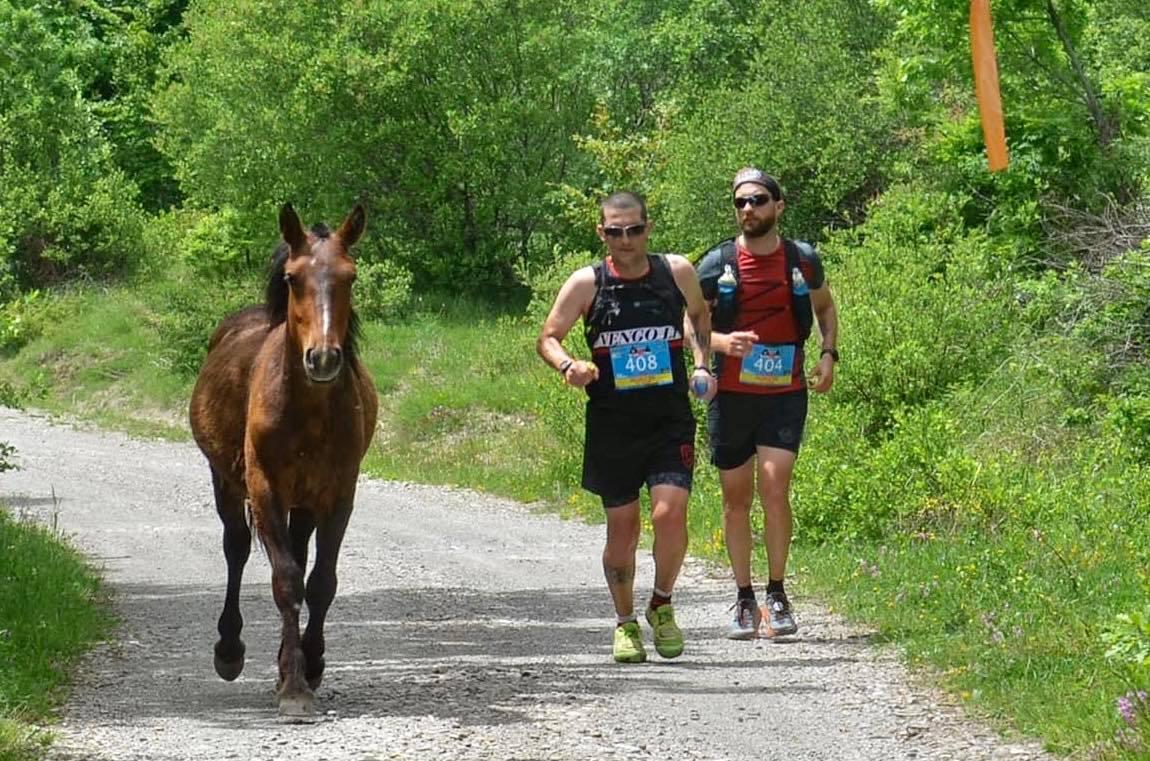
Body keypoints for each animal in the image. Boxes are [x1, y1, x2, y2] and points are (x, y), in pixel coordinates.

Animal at [188, 205, 377, 717]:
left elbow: (321, 581)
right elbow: (287, 580)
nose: (323, 358)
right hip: (226, 483)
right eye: (293, 278)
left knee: (299, 549)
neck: (308, 411)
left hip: (305, 500)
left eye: (350, 276)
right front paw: (294, 687)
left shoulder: (339, 495)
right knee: (236, 548)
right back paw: (229, 649)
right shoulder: (266, 490)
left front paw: (310, 665)